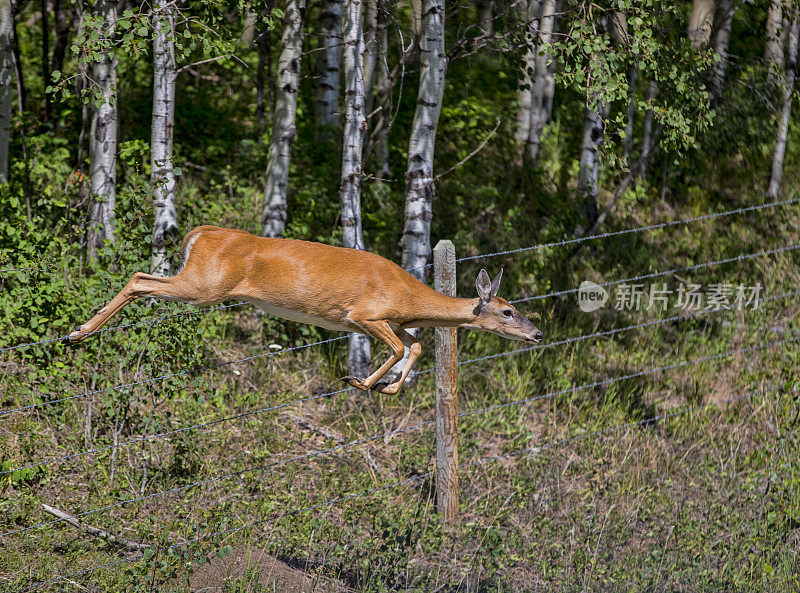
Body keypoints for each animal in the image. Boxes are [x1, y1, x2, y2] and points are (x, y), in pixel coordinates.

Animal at [67, 224, 544, 390]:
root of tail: (200, 233)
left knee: (141, 279)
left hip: (202, 282)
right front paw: (360, 382)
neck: (410, 296)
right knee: (139, 278)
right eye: (507, 311)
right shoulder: (363, 314)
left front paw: (386, 389)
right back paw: (78, 332)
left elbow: (416, 345)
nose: (538, 334)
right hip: (205, 285)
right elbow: (397, 347)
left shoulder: (389, 321)